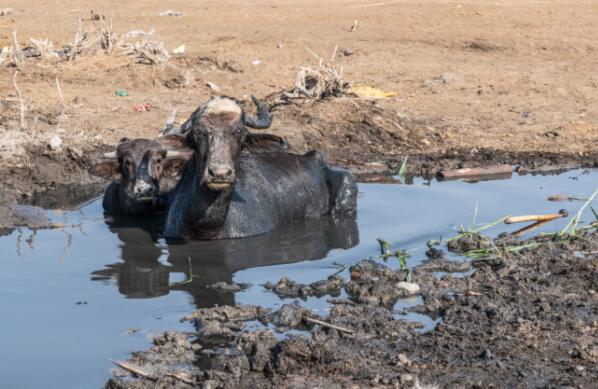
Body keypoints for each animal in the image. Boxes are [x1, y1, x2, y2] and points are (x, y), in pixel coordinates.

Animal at [164, 95, 358, 238]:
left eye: (240, 132)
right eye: (198, 132)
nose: (220, 174)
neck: (207, 227)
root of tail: (315, 157)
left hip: (347, 184)